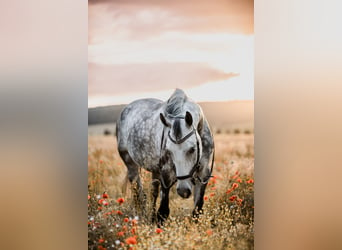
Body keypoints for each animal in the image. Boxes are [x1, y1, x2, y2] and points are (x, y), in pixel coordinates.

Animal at [116, 89, 215, 224]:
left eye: (192, 149)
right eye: (169, 151)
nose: (183, 191)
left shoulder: (204, 172)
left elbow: (197, 209)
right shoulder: (166, 171)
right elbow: (163, 210)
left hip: (155, 169)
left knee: (153, 192)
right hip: (130, 162)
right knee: (138, 192)